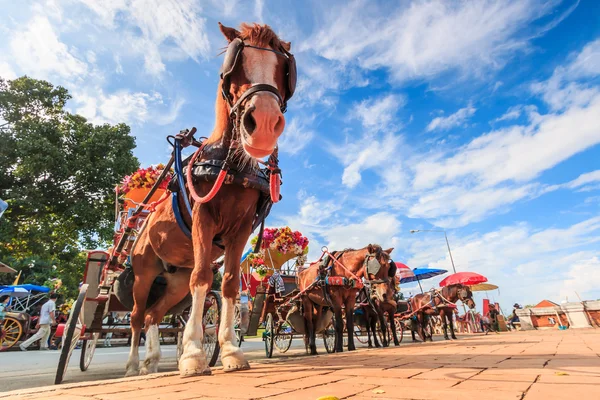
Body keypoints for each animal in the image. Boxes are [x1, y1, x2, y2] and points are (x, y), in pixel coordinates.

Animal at [123, 23, 298, 376]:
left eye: (284, 69)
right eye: (234, 62)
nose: (264, 125)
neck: (232, 166)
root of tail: (141, 224)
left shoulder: (240, 230)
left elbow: (229, 284)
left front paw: (230, 350)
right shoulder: (204, 219)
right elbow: (203, 278)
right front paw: (192, 354)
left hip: (174, 277)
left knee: (152, 314)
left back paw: (151, 361)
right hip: (144, 272)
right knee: (136, 315)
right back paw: (134, 364)